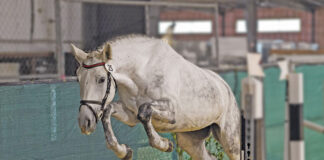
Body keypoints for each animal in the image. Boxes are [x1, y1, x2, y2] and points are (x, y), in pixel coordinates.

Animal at [72, 35, 242, 160]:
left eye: (101, 79)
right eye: (78, 79)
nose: (84, 122)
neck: (141, 74)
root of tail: (225, 86)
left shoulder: (172, 112)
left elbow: (144, 110)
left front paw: (165, 144)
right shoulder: (130, 115)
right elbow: (109, 110)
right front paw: (123, 151)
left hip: (230, 140)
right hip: (190, 141)